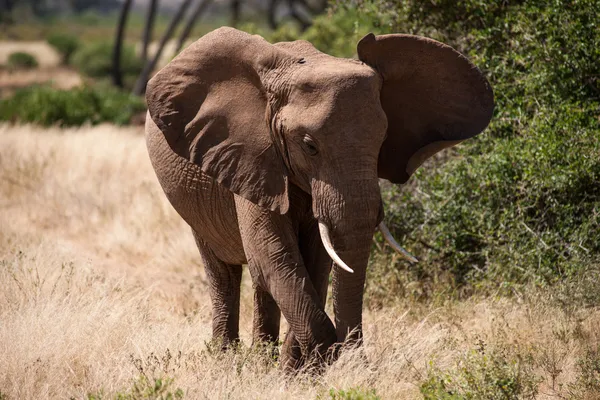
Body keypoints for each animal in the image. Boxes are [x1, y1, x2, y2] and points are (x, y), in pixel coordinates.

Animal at [144, 26, 492, 370]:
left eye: (382, 141)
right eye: (309, 146)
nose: (357, 361)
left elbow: (316, 260)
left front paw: (299, 370)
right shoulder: (250, 155)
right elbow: (276, 256)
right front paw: (320, 361)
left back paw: (262, 361)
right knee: (226, 271)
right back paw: (228, 360)